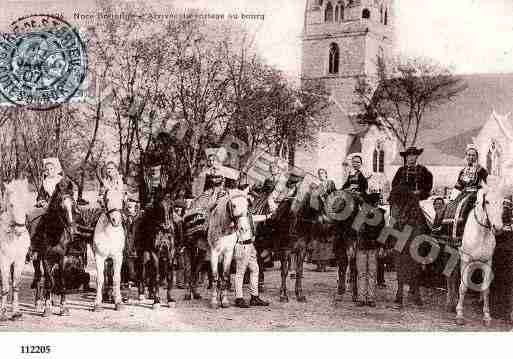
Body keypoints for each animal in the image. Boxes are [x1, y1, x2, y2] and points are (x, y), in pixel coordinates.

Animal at [29, 179, 75, 316]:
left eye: (73, 204)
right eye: (61, 206)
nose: (71, 229)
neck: (54, 233)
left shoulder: (61, 259)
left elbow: (61, 281)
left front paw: (63, 307)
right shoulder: (45, 258)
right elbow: (49, 281)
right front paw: (47, 308)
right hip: (36, 258)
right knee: (39, 276)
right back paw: (39, 302)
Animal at [454, 180, 506, 326]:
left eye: (503, 202)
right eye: (487, 201)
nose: (498, 228)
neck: (481, 233)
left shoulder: (487, 262)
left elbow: (486, 289)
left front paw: (487, 316)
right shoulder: (466, 261)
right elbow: (463, 287)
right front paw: (459, 314)